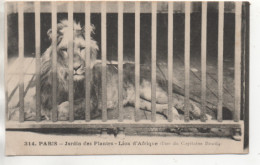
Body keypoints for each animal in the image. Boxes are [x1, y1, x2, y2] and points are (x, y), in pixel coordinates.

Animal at [40, 20, 205, 121]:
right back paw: (175, 117)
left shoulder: (91, 100)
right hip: (138, 100)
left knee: (178, 99)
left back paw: (198, 113)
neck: (65, 78)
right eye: (64, 50)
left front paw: (56, 114)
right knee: (166, 106)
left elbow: (65, 106)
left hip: (151, 91)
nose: (75, 67)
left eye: (82, 48)